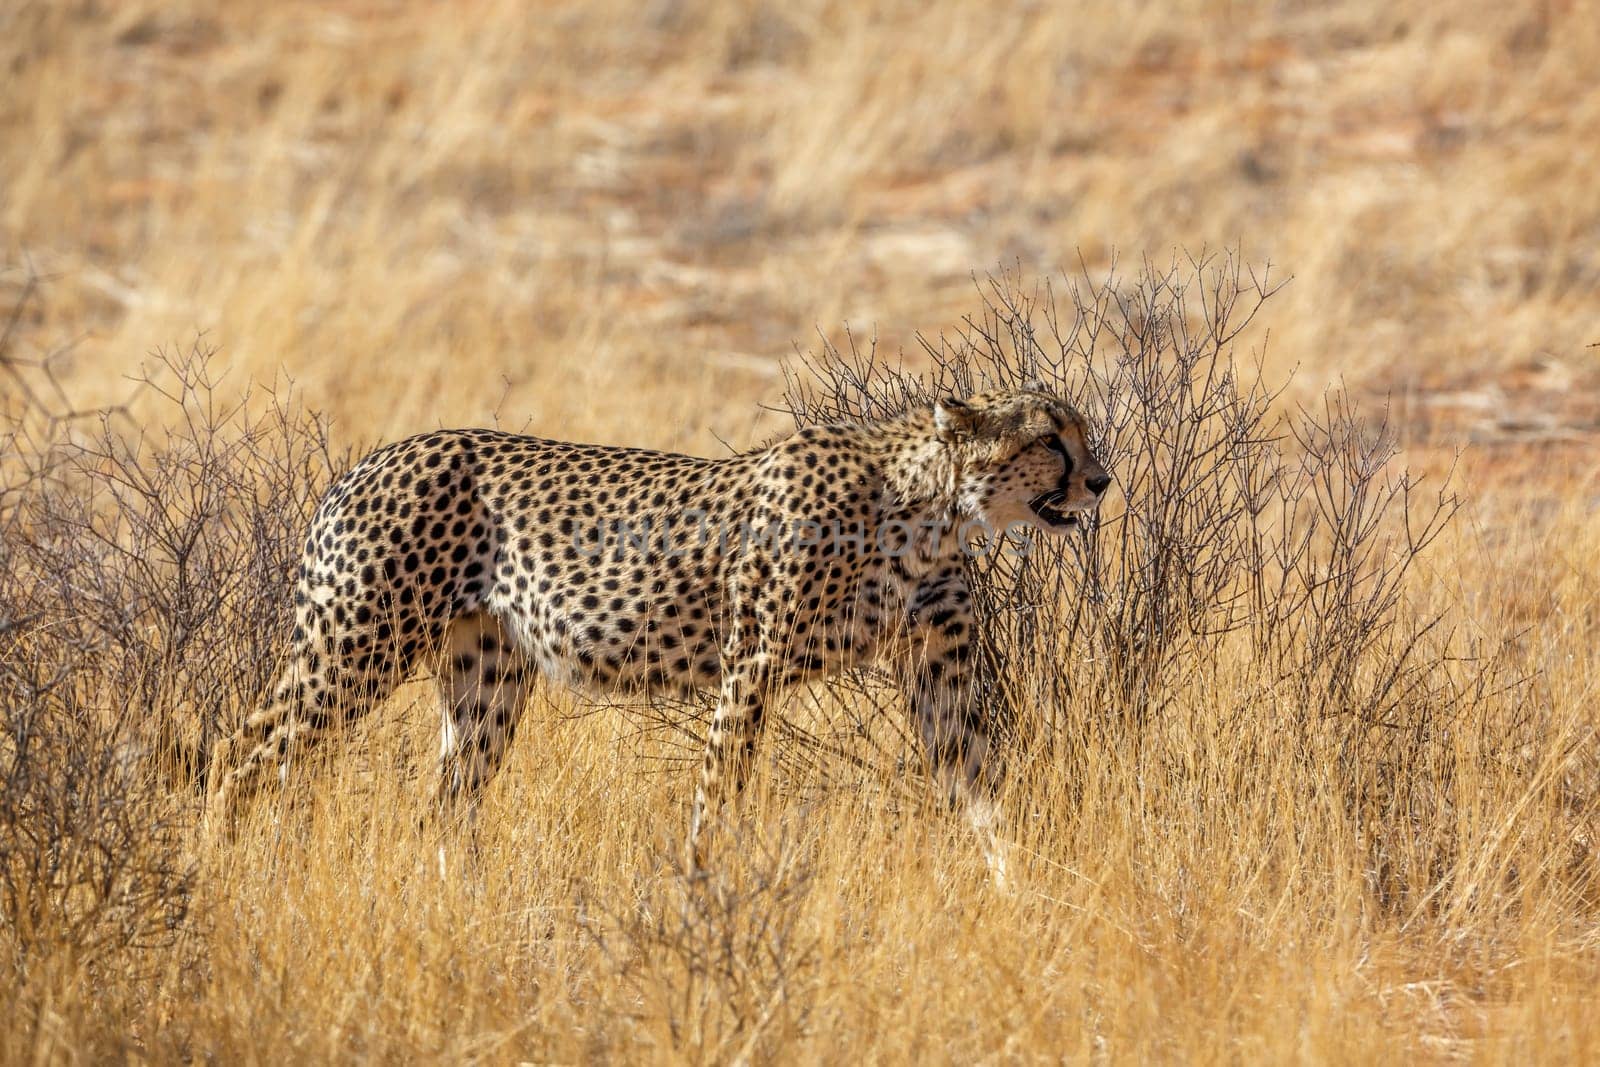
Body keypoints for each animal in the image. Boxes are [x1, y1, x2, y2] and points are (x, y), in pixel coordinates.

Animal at [209, 383, 1113, 876]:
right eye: (1049, 439)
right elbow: (720, 793)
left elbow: (983, 792)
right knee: (242, 751)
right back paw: (219, 869)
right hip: (354, 647)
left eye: (1079, 433)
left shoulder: (938, 668)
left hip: (485, 674)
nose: (1102, 480)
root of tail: (375, 456)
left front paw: (1021, 890)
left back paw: (455, 900)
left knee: (444, 802)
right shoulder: (752, 663)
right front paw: (706, 890)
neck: (929, 507)